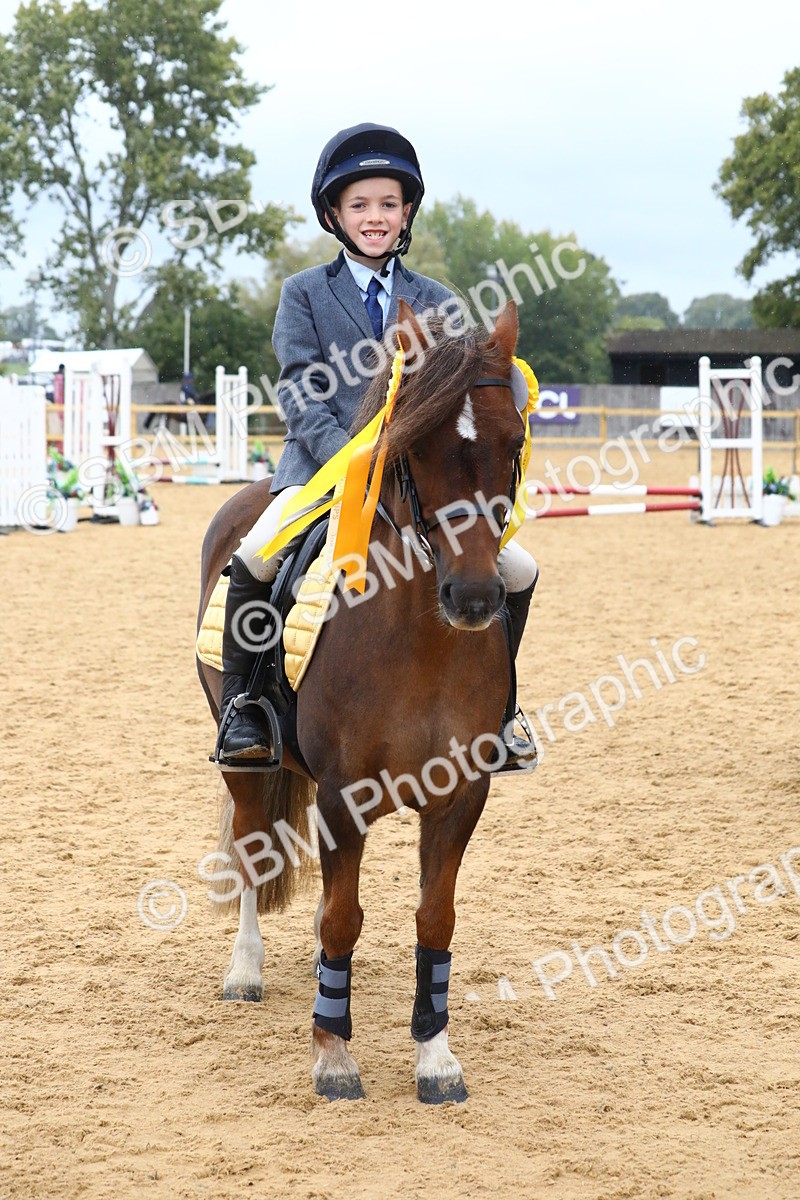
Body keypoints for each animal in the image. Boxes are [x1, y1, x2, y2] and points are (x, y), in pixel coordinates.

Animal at [197, 299, 529, 1104]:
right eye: (416, 442)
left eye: (513, 442)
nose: (475, 598)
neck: (422, 640)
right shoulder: (342, 795)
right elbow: (341, 918)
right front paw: (334, 1054)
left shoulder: (460, 795)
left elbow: (435, 918)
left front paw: (435, 1056)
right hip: (243, 760)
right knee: (252, 845)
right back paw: (245, 970)